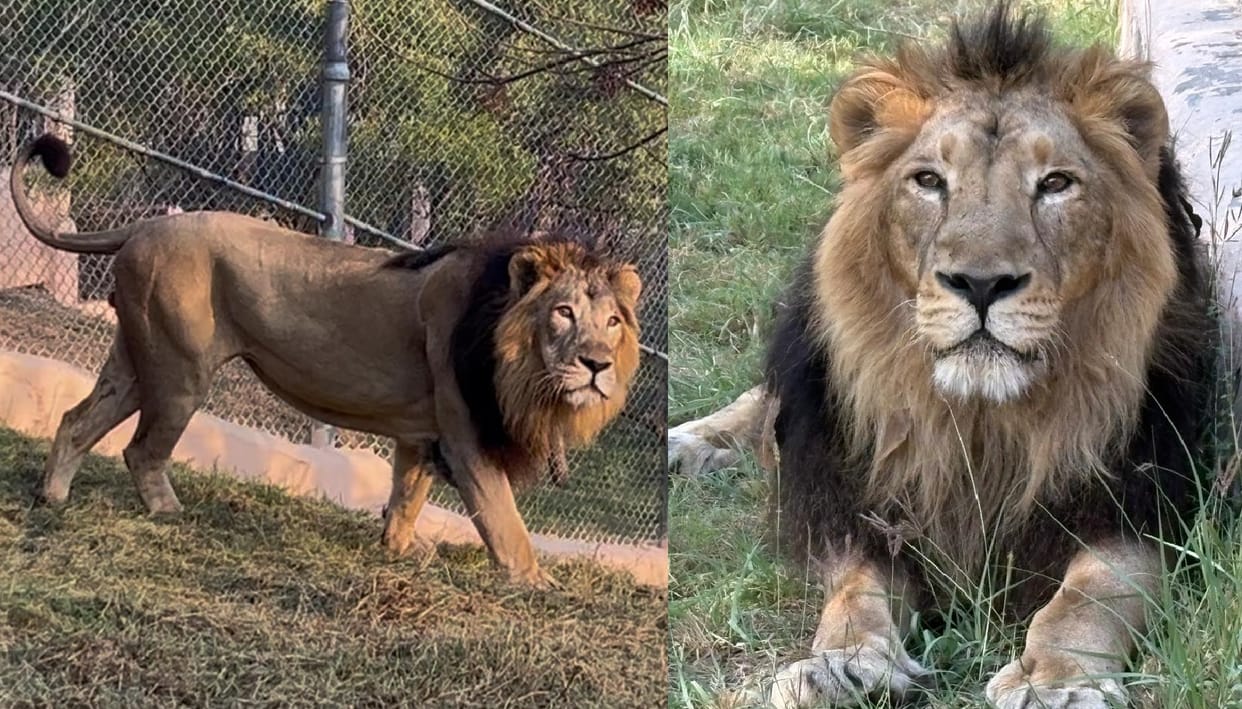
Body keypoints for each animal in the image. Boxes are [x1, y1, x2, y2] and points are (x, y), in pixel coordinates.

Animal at [10, 133, 642, 588]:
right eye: (563, 313)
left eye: (612, 322)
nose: (597, 365)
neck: (516, 363)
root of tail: (145, 224)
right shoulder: (467, 436)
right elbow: (504, 520)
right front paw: (537, 585)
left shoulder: (422, 429)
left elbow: (407, 495)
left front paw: (399, 550)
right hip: (180, 368)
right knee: (141, 449)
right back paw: (169, 511)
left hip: (137, 357)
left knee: (76, 421)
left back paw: (51, 498)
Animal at [669, 7, 1214, 708]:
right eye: (929, 181)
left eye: (1056, 184)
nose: (980, 284)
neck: (982, 420)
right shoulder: (858, 497)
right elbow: (855, 592)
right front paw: (842, 664)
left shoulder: (1141, 500)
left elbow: (1093, 593)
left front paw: (1056, 680)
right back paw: (689, 441)